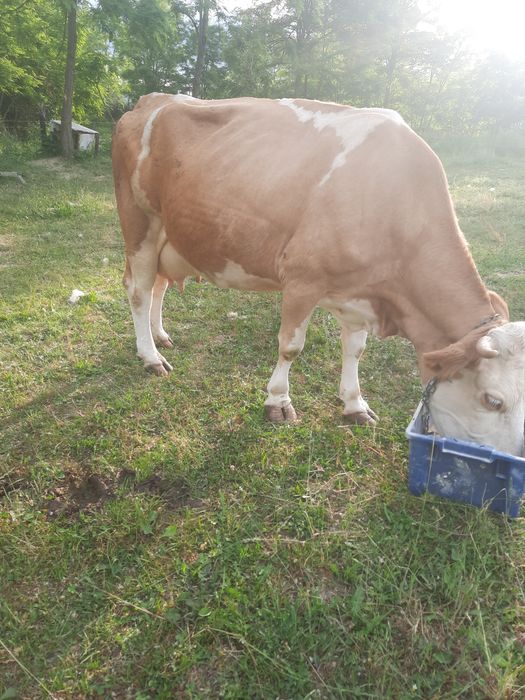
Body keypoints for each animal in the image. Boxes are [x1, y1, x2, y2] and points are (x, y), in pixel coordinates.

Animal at [112, 93, 525, 456]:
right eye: (492, 400)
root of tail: (150, 100)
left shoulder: (360, 292)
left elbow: (355, 350)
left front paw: (355, 405)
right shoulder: (301, 279)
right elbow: (291, 346)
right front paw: (277, 401)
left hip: (172, 236)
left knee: (159, 285)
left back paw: (160, 336)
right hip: (139, 223)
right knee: (139, 290)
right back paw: (150, 356)